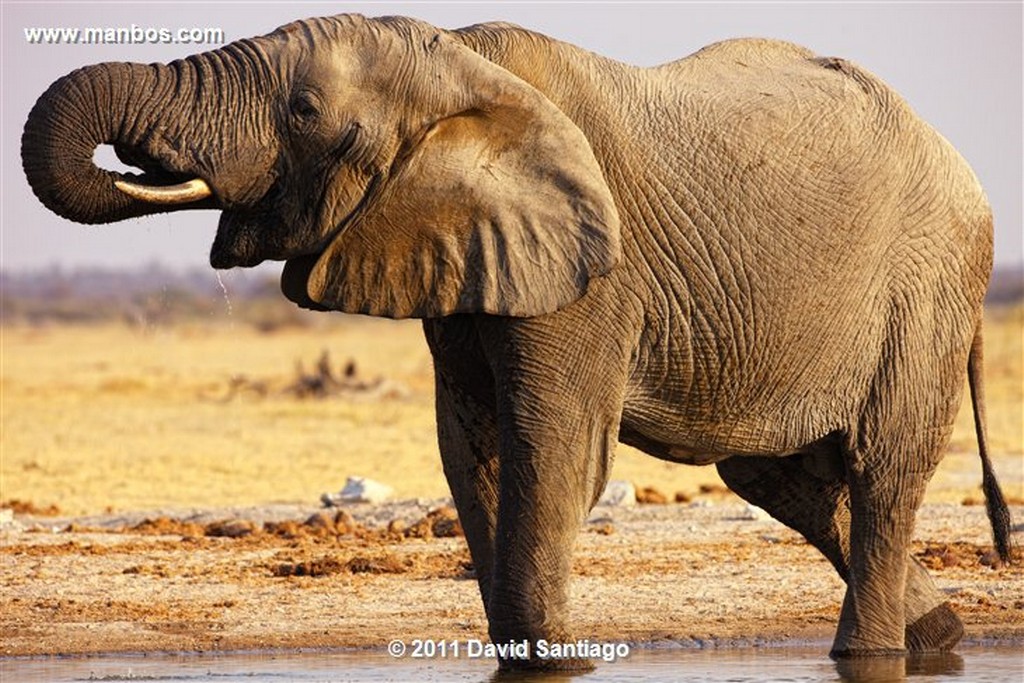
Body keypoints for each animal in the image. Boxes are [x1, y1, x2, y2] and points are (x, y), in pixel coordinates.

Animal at [22, 13, 1007, 671]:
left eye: (301, 108)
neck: (461, 65)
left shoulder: (593, 275)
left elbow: (551, 445)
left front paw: (552, 663)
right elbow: (474, 446)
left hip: (925, 288)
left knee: (880, 469)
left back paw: (873, 653)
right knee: (785, 480)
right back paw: (940, 633)